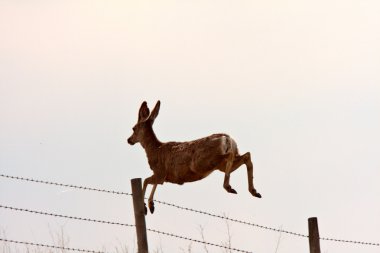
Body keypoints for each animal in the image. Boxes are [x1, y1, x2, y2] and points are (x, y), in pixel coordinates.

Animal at [127, 101, 262, 213]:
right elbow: (153, 184)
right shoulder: (162, 176)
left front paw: (145, 208)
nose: (129, 140)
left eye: (133, 128)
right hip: (219, 164)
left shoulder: (160, 172)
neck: (154, 149)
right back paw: (254, 192)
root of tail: (227, 138)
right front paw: (151, 206)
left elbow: (146, 181)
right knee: (246, 155)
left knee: (232, 155)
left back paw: (229, 187)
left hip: (204, 162)